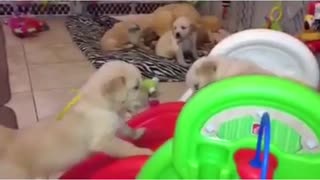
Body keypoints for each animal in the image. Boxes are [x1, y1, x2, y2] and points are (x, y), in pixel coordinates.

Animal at [0, 60, 151, 179]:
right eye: (136, 87)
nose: (150, 95)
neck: (100, 103)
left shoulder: (116, 123)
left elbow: (127, 129)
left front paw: (138, 133)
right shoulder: (103, 140)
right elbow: (126, 147)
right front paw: (145, 152)